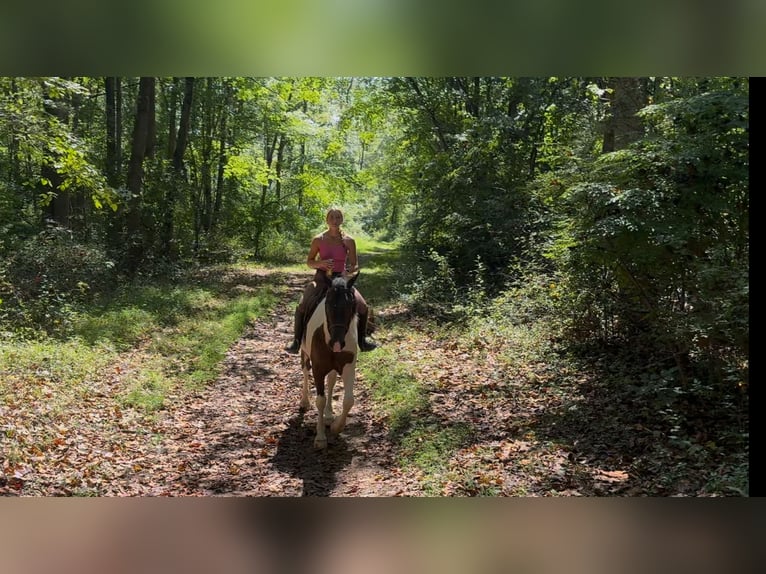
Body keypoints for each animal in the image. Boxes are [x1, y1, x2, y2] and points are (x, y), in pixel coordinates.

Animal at [299, 272, 360, 449]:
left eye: (350, 305)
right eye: (327, 304)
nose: (337, 343)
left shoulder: (348, 367)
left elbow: (349, 400)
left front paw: (336, 427)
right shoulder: (318, 368)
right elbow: (320, 399)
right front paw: (320, 438)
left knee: (331, 381)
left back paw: (328, 415)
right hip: (304, 354)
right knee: (305, 371)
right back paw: (304, 402)